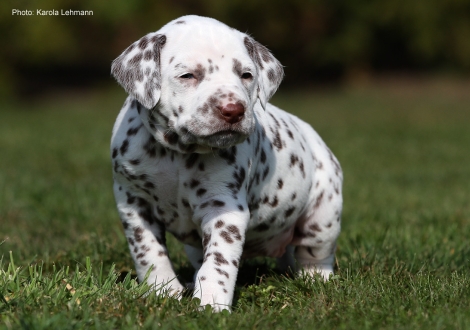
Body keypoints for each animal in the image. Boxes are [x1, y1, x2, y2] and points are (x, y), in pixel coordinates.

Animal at [112, 14, 344, 310]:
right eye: (188, 75)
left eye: (246, 75)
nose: (233, 110)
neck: (177, 153)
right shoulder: (133, 202)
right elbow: (148, 252)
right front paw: (162, 291)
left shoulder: (223, 207)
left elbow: (219, 261)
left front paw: (212, 302)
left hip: (323, 214)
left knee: (315, 254)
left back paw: (316, 279)